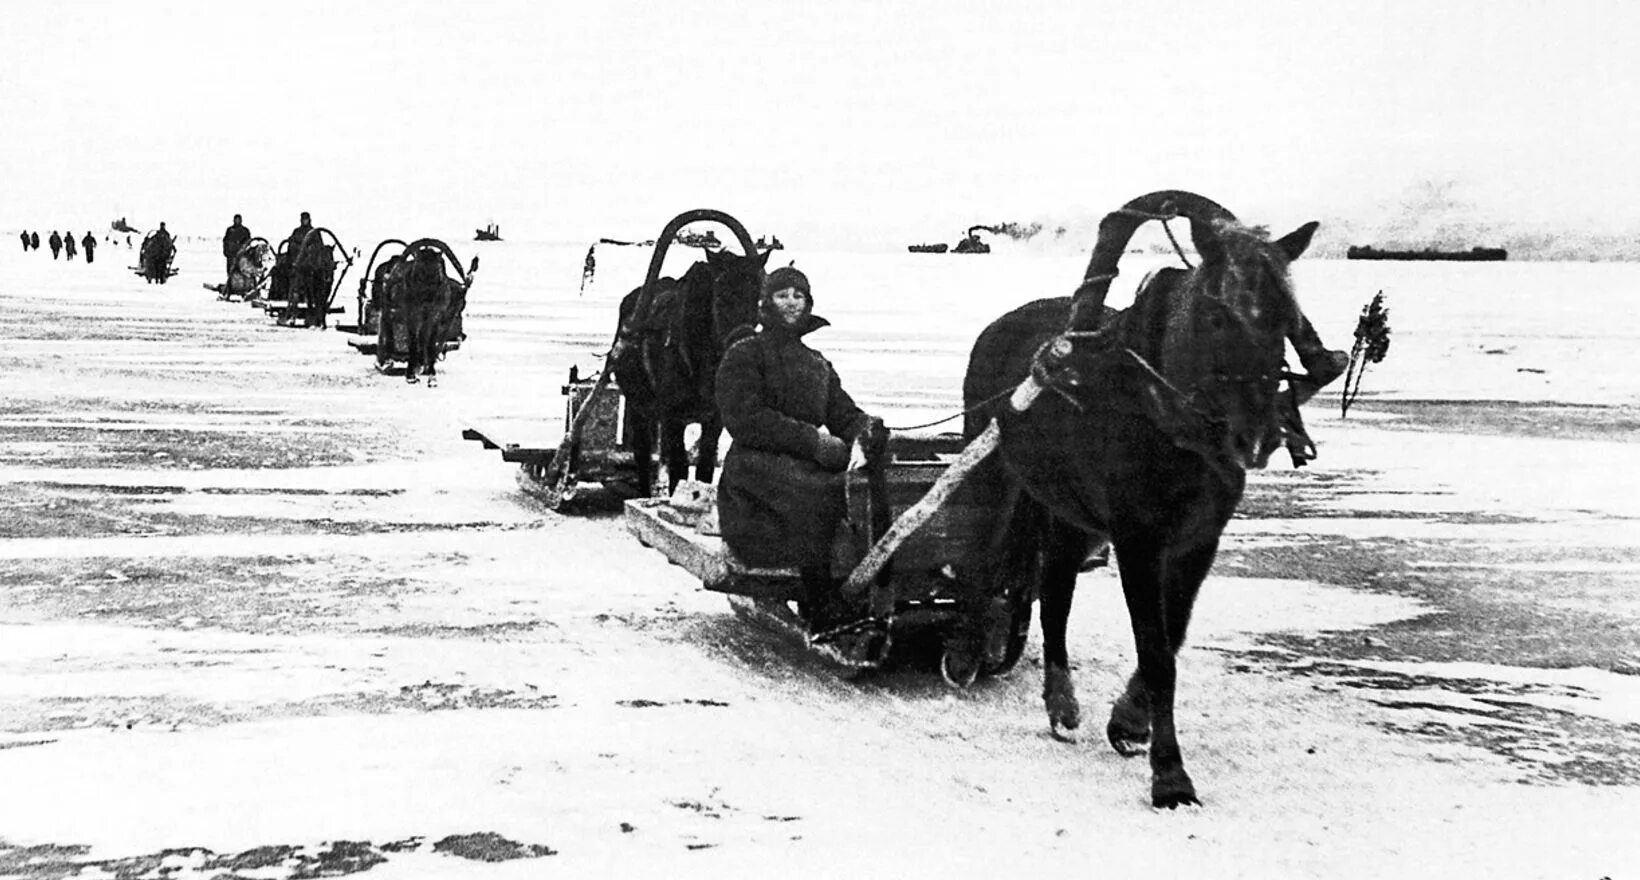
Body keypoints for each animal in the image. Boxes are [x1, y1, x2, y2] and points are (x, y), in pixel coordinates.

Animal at [613, 206, 770, 494]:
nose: (741, 342)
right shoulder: (672, 416)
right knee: (642, 455)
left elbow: (705, 467)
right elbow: (679, 469)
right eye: (720, 296)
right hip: (639, 405)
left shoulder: (714, 419)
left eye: (758, 298)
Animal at [957, 191, 1344, 809]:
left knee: (1055, 589)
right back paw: (970, 652)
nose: (1258, 437)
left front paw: (1129, 722)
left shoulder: (1199, 538)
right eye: (1217, 316)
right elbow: (1157, 652)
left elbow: (1172, 636)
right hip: (995, 472)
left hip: (1070, 513)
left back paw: (1061, 703)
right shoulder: (1137, 537)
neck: (1171, 419)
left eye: (1286, 318)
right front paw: (1170, 774)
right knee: (985, 554)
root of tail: (1000, 325)